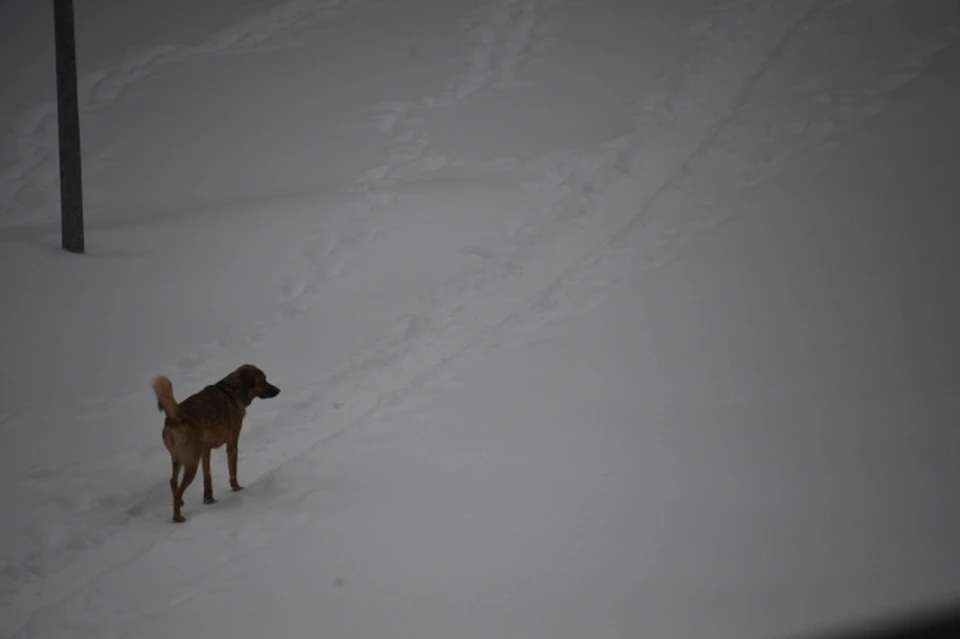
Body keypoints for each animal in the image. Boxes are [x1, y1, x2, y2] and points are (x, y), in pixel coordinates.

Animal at [150, 368, 278, 524]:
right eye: (263, 380)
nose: (278, 390)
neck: (232, 390)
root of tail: (175, 417)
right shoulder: (232, 444)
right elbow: (232, 470)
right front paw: (237, 489)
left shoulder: (205, 449)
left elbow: (207, 476)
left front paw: (208, 499)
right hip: (191, 462)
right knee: (179, 489)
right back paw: (177, 517)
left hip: (178, 458)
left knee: (173, 481)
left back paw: (180, 502)